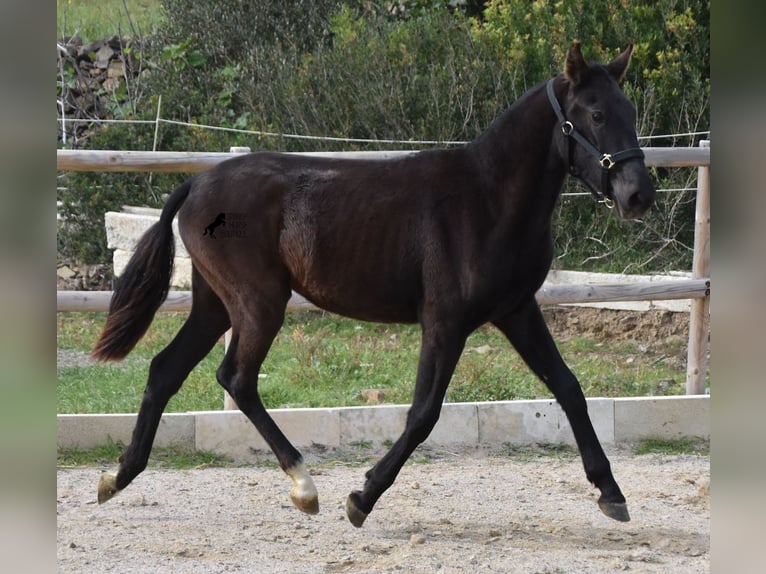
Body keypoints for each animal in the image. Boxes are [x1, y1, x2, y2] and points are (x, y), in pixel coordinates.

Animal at [90, 44, 656, 532]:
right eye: (595, 114)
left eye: (630, 110)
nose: (639, 196)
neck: (488, 201)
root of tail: (195, 184)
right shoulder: (445, 322)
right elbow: (424, 413)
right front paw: (361, 498)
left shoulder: (517, 311)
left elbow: (569, 388)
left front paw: (612, 494)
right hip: (258, 301)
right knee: (237, 378)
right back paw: (304, 487)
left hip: (215, 304)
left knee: (166, 369)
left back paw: (116, 477)